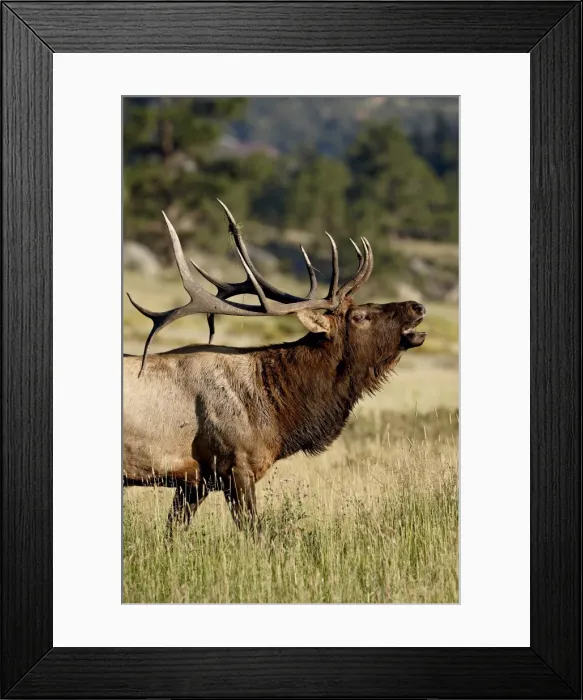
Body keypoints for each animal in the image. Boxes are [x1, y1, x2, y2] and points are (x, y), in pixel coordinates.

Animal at [123, 200, 426, 533]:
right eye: (360, 316)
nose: (417, 306)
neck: (277, 413)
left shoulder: (196, 480)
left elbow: (172, 531)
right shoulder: (235, 464)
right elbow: (254, 531)